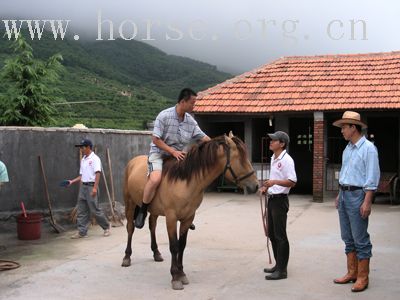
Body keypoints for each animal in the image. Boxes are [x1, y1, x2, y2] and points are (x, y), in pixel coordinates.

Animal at [122, 132, 260, 290]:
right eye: (241, 159)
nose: (256, 186)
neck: (186, 181)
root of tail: (133, 161)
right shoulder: (171, 218)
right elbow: (174, 246)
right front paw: (175, 277)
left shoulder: (188, 218)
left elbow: (182, 245)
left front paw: (181, 274)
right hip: (130, 203)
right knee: (130, 228)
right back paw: (127, 257)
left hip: (154, 210)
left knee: (152, 227)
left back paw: (156, 253)